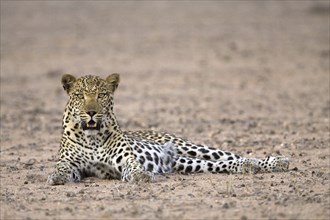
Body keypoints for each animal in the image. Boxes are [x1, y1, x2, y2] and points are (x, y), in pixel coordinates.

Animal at [46, 74, 288, 186]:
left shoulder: (125, 159)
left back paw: (274, 161)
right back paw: (250, 166)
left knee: (230, 155)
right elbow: (63, 167)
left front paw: (141, 175)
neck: (92, 138)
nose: (91, 112)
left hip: (191, 147)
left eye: (102, 95)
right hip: (186, 163)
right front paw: (56, 176)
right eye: (79, 95)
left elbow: (133, 166)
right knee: (221, 164)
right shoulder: (76, 165)